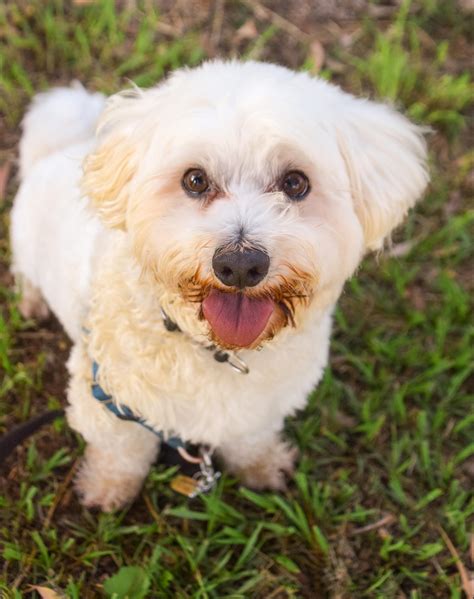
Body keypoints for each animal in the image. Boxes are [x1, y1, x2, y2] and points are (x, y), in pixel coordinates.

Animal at [10, 59, 430, 510]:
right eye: (195, 180)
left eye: (295, 183)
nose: (241, 265)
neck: (216, 350)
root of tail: (55, 150)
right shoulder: (108, 400)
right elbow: (121, 452)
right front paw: (107, 489)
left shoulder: (261, 406)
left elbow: (251, 438)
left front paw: (263, 467)